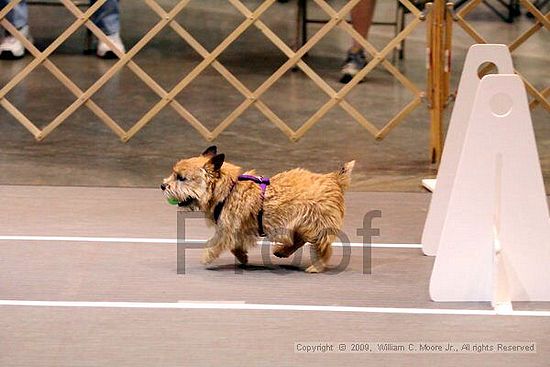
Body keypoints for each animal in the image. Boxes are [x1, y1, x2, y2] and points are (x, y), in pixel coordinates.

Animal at [162, 147, 356, 274]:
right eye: (174, 174)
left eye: (181, 178)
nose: (163, 185)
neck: (229, 189)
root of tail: (333, 179)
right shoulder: (238, 230)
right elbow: (235, 246)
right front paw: (242, 257)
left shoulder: (227, 229)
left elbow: (216, 242)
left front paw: (207, 256)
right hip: (301, 225)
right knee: (299, 240)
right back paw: (282, 251)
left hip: (315, 225)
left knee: (322, 248)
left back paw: (316, 266)